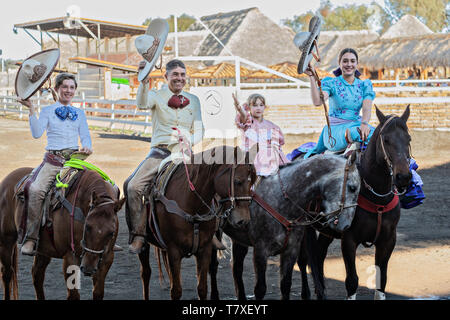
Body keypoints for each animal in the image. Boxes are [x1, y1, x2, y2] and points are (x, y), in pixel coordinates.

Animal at [0, 168, 125, 300]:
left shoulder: (107, 258)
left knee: (37, 274)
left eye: (111, 233)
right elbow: (73, 295)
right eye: (88, 227)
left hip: (43, 249)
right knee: (7, 273)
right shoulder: (70, 256)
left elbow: (98, 293)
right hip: (6, 240)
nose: (88, 268)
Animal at [135, 146, 256, 300]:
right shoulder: (174, 251)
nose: (243, 220)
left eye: (251, 183)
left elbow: (202, 288)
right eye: (237, 181)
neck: (191, 204)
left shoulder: (204, 249)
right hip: (144, 244)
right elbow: (176, 291)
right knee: (145, 273)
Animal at [209, 152, 360, 300]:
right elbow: (260, 289)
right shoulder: (260, 251)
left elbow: (286, 285)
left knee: (236, 267)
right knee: (213, 266)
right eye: (352, 188)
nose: (346, 225)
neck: (281, 198)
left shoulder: (291, 250)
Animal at [298, 105, 414, 300]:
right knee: (303, 260)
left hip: (327, 230)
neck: (376, 196)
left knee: (319, 256)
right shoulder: (349, 239)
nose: (403, 177)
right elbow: (352, 281)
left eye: (408, 139)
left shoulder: (388, 240)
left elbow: (382, 280)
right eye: (386, 139)